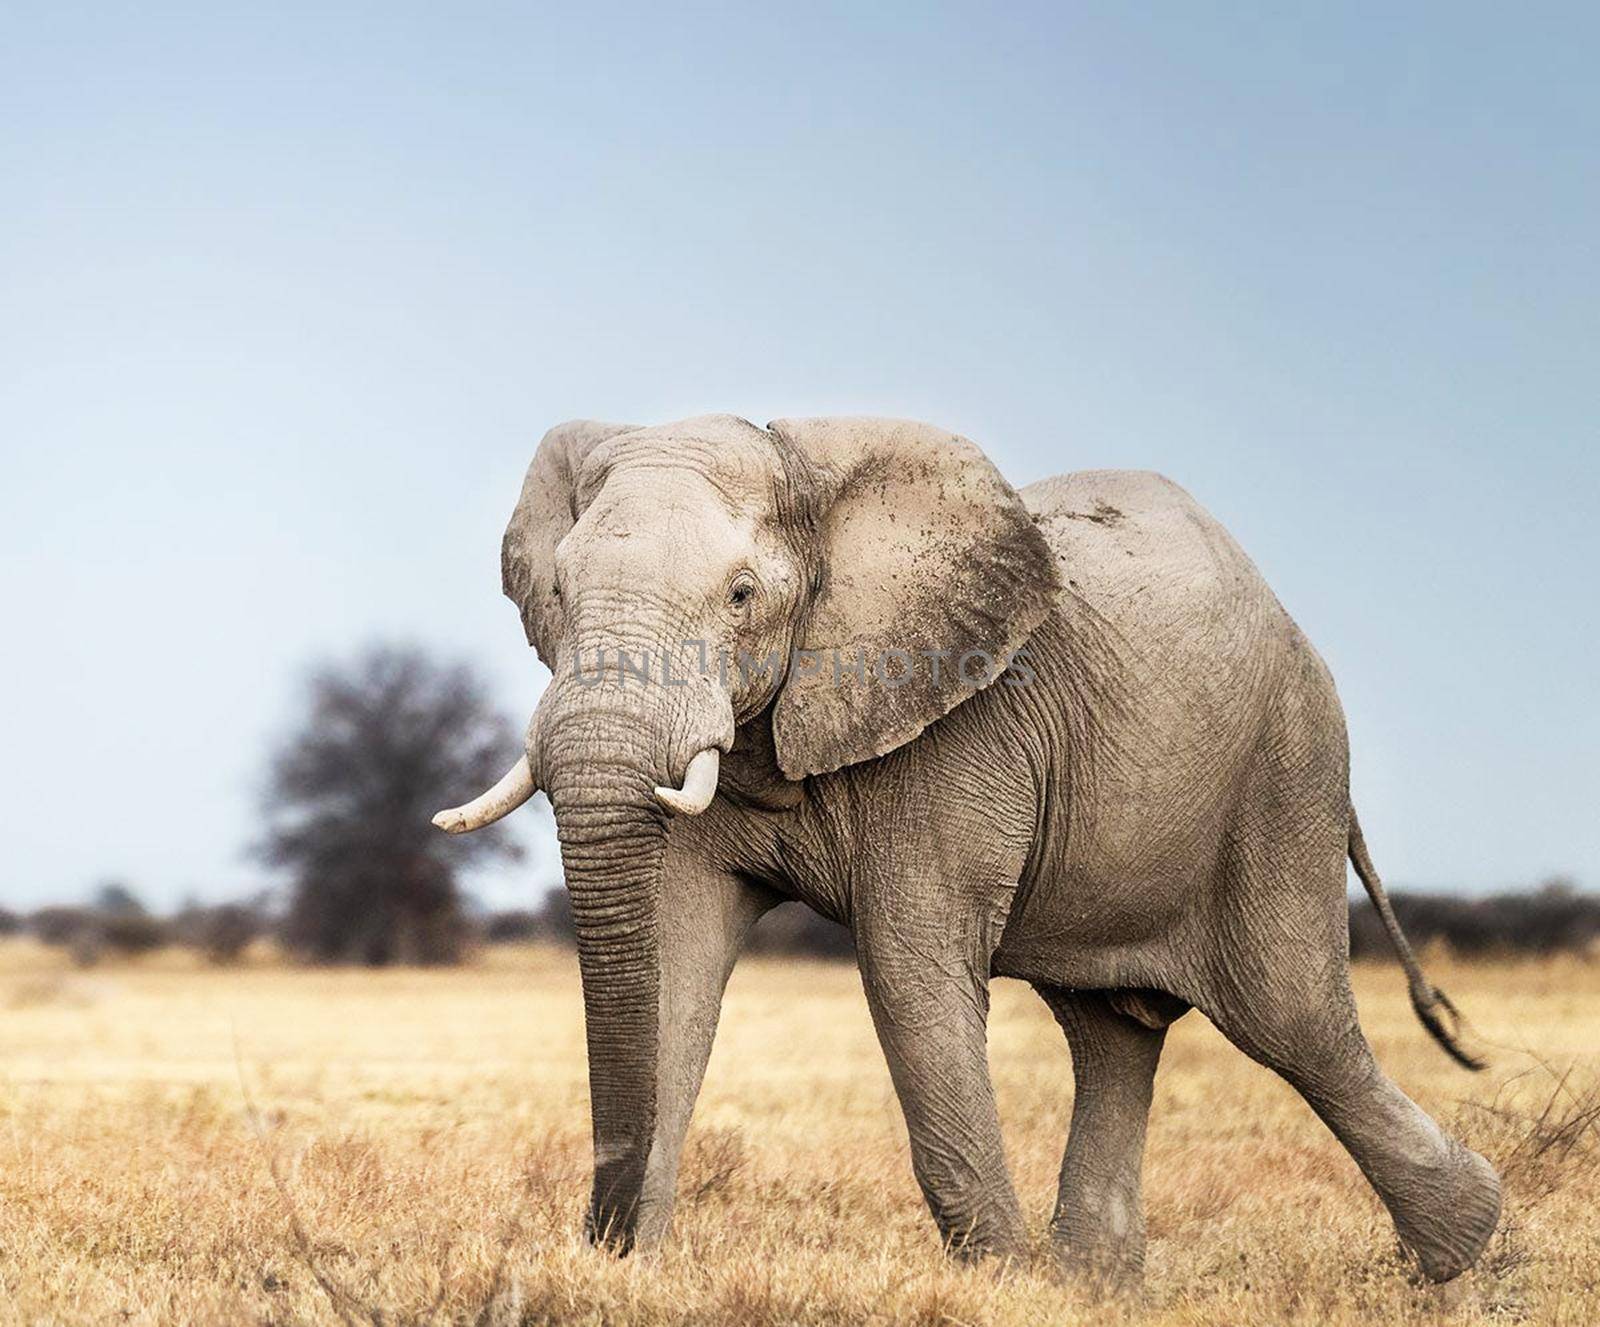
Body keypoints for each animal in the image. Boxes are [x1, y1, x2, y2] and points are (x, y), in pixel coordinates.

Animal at [428, 416, 1497, 1286]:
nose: (600, 1240)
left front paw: (996, 1286)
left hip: (1283, 775)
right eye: (557, 589)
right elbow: (674, 959)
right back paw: (1091, 1288)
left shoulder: (959, 729)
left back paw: (1466, 1252)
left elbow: (909, 969)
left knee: (1295, 1020)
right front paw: (631, 1272)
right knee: (1115, 1031)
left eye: (740, 595)